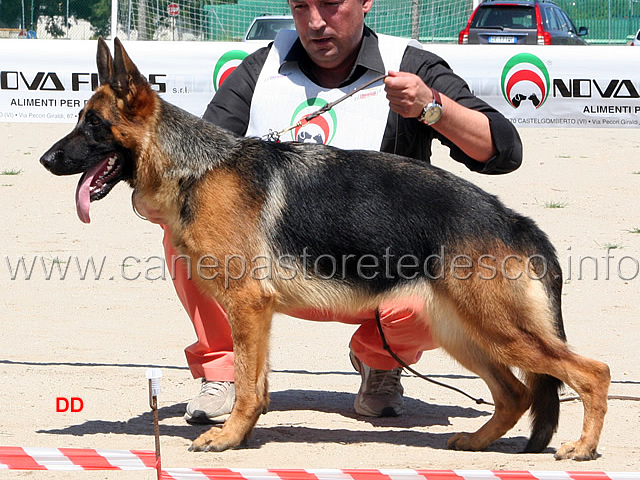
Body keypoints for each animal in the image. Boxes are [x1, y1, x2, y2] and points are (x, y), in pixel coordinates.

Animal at [40, 37, 608, 458]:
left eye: (92, 125)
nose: (47, 160)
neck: (198, 166)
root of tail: (518, 222)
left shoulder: (247, 305)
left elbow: (247, 383)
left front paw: (228, 438)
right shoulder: (255, 313)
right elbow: (256, 384)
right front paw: (242, 434)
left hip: (497, 330)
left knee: (590, 373)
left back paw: (581, 448)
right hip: (467, 334)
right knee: (515, 394)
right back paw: (477, 442)